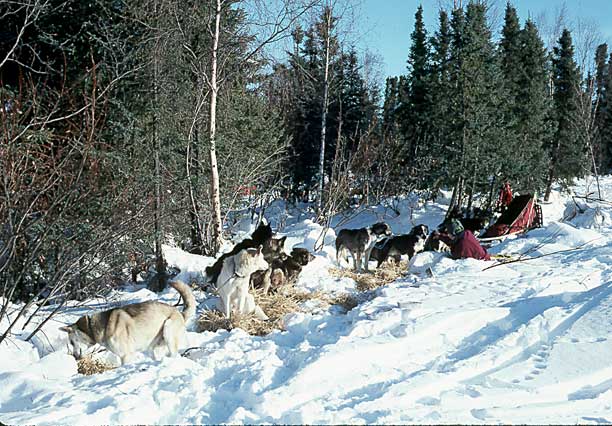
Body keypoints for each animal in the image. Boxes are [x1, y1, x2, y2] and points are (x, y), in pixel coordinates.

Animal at [58, 280, 195, 366]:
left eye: (71, 342)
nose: (74, 357)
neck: (96, 327)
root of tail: (180, 313)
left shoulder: (126, 356)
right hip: (152, 348)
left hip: (168, 330)